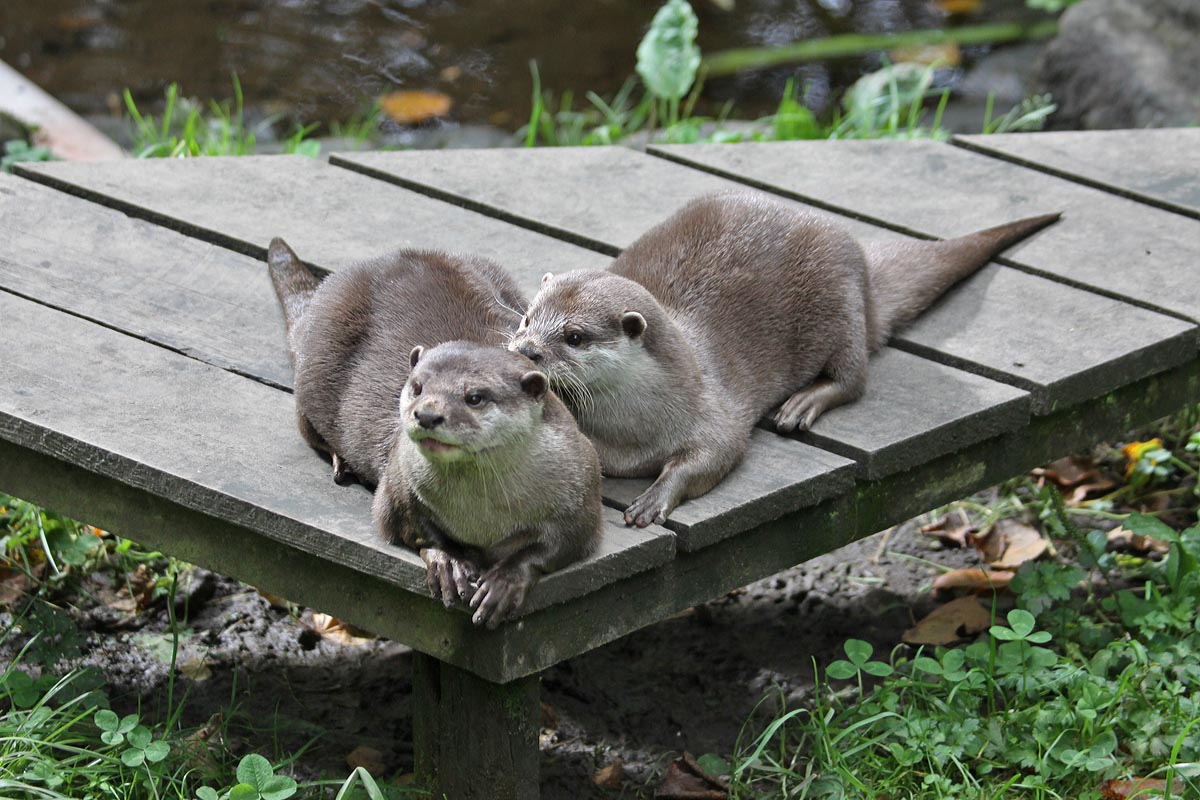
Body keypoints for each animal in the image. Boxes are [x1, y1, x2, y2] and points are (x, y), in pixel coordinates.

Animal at [267, 240, 601, 626]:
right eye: (417, 386)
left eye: (475, 397)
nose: (427, 414)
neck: (484, 516)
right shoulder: (398, 484)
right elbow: (407, 526)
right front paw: (450, 561)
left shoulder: (581, 489)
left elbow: (559, 545)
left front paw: (506, 580)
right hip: (312, 375)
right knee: (309, 427)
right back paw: (342, 460)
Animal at [509, 191, 1060, 528]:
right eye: (527, 318)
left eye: (575, 336)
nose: (524, 350)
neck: (629, 432)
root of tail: (858, 255)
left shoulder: (715, 411)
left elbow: (716, 454)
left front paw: (654, 498)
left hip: (841, 304)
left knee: (855, 377)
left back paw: (803, 404)